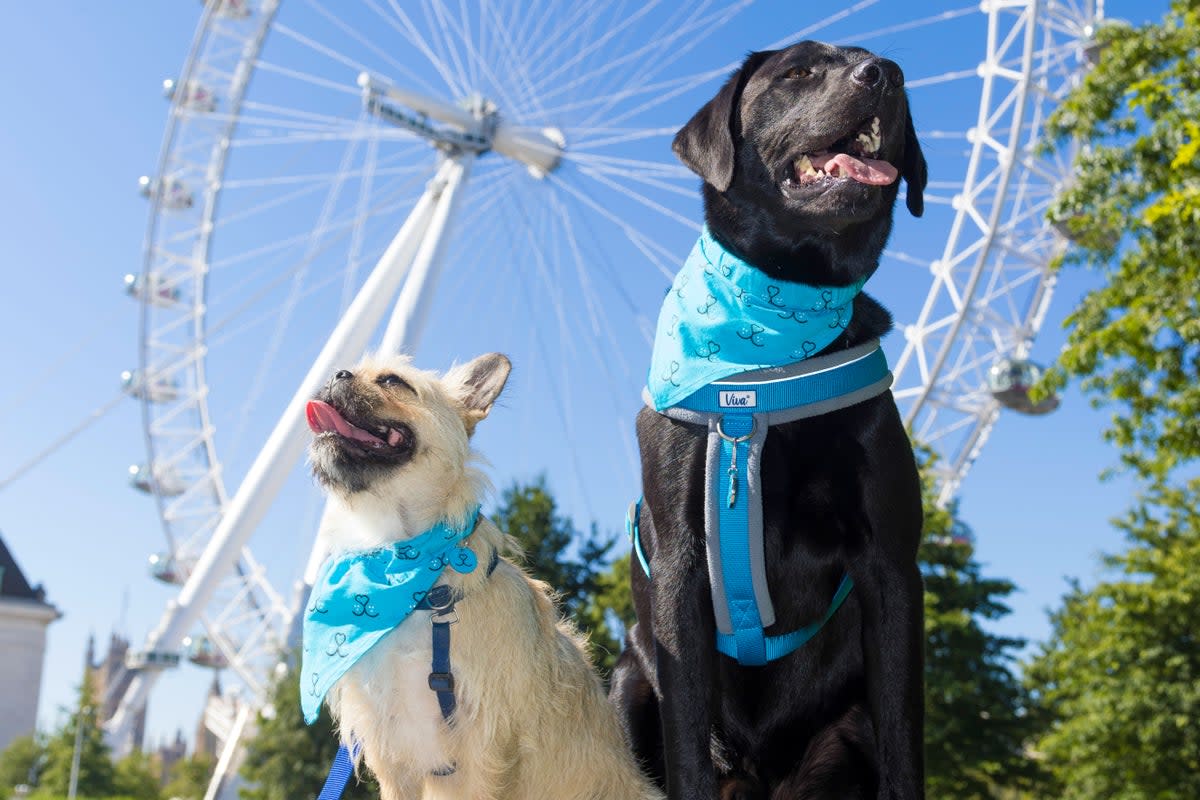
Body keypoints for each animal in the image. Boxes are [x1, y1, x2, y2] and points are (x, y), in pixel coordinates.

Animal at [609, 40, 926, 796]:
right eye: (799, 72)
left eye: (880, 64)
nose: (887, 75)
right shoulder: (681, 566)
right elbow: (688, 747)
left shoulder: (892, 565)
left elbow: (905, 743)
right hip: (625, 686)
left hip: (843, 737)